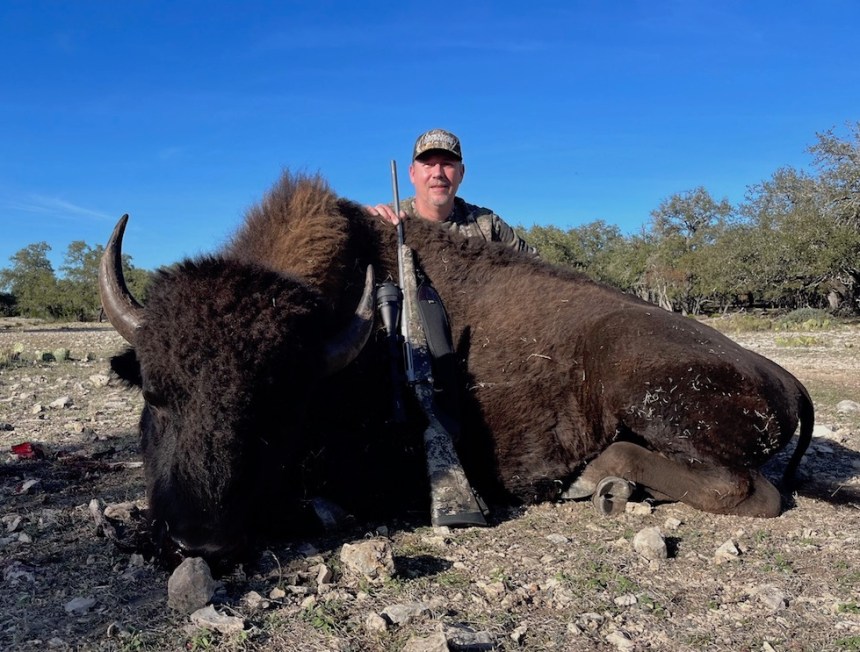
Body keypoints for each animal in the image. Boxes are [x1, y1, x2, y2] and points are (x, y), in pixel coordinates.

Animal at [100, 171, 813, 559]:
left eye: (275, 408)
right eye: (154, 395)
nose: (198, 542)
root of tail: (786, 380)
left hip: (647, 390)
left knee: (747, 489)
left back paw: (601, 478)